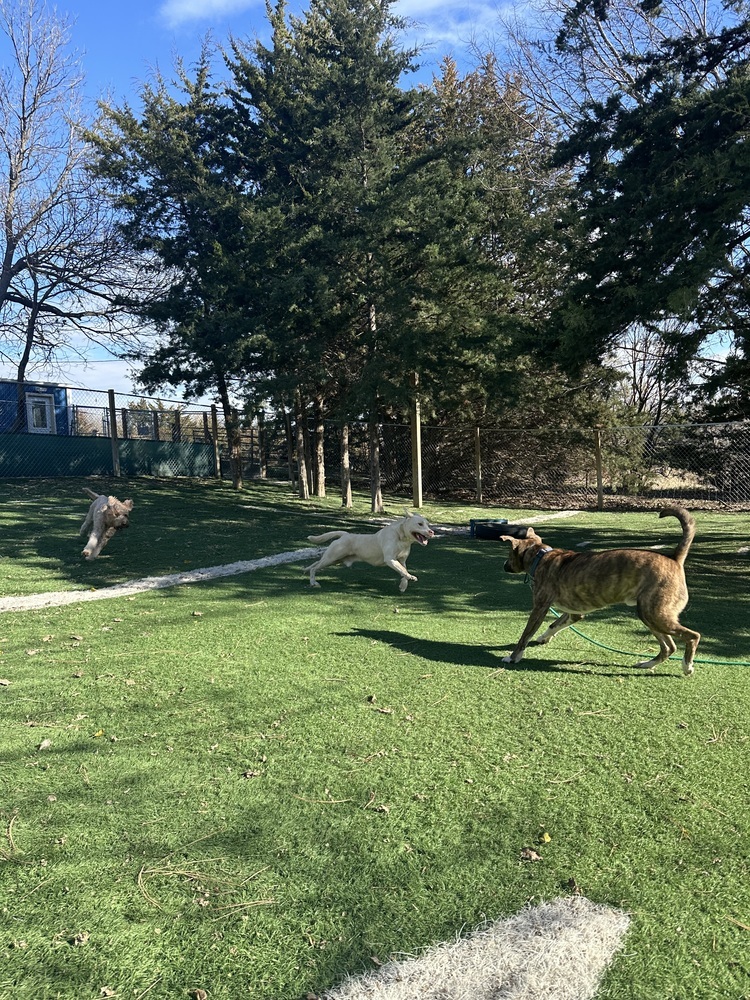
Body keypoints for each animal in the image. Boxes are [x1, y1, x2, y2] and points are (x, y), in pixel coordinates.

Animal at [306, 512, 434, 588]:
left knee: (315, 563)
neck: (401, 537)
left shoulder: (402, 560)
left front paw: (403, 585)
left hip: (334, 560)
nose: (431, 532)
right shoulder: (390, 559)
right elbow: (402, 570)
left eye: (427, 524)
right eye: (420, 524)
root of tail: (344, 534)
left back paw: (305, 570)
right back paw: (313, 582)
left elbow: (403, 570)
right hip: (332, 557)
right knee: (314, 568)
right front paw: (410, 577)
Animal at [502, 504, 704, 676]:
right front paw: (544, 637)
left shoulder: (540, 608)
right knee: (669, 647)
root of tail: (675, 558)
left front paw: (513, 657)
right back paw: (648, 664)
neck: (541, 556)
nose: (504, 566)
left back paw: (687, 666)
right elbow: (554, 625)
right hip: (651, 616)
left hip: (654, 614)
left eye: (509, 554)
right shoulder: (574, 613)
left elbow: (525, 635)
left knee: (693, 636)